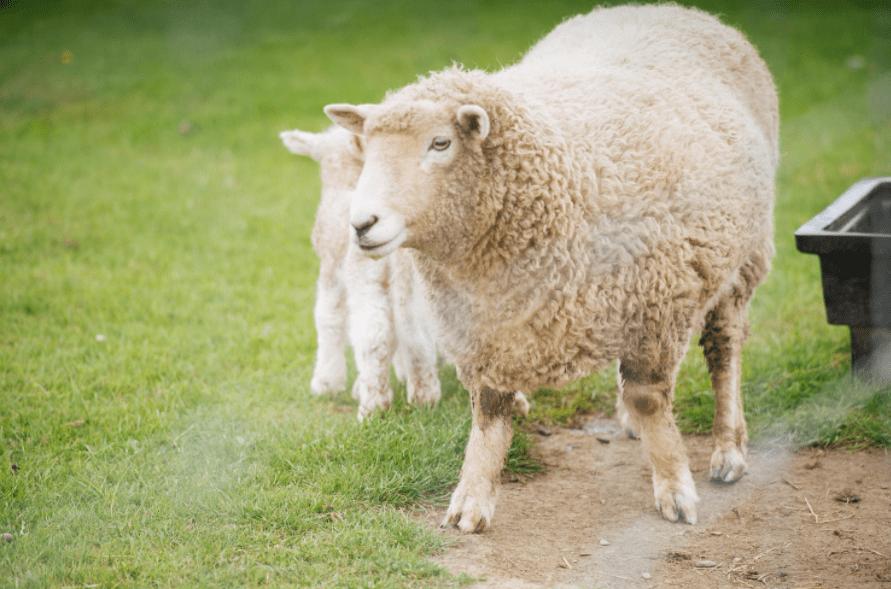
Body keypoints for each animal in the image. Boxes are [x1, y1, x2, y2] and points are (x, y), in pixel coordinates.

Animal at [278, 124, 528, 418]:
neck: (346, 180)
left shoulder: (331, 268)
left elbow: (328, 318)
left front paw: (327, 383)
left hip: (368, 274)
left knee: (375, 332)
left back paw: (376, 405)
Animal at [324, 1, 776, 532]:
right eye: (366, 149)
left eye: (440, 144)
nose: (361, 224)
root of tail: (670, 9)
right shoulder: (484, 330)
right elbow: (489, 413)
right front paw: (472, 498)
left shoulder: (657, 305)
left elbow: (650, 398)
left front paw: (674, 488)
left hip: (742, 257)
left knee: (723, 349)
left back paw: (728, 449)